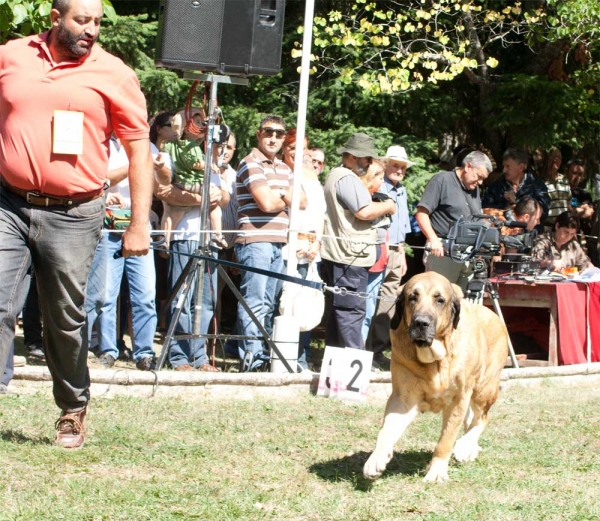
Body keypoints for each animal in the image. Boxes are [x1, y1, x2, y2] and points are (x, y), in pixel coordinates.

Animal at [364, 270, 508, 482]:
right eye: (412, 297)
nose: (421, 322)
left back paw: (465, 447)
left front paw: (437, 472)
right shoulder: (403, 399)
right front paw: (376, 458)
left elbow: (445, 441)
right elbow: (387, 430)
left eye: (439, 300)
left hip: (484, 389)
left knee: (482, 418)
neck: (434, 359)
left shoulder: (458, 399)